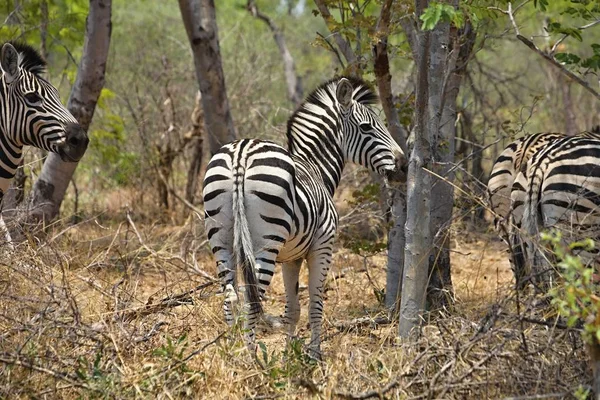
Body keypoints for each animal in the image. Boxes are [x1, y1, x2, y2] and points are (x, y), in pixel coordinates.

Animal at [203, 76, 408, 358]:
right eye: (367, 127)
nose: (404, 166)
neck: (316, 168)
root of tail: (240, 154)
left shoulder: (291, 257)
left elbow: (293, 309)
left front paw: (291, 355)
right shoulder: (322, 247)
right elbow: (315, 303)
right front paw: (313, 354)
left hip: (220, 239)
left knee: (230, 298)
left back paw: (232, 353)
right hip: (266, 243)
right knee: (251, 302)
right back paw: (251, 360)